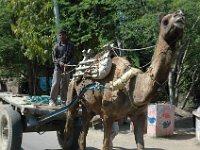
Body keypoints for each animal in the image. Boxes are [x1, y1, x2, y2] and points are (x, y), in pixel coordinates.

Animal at [63, 10, 185, 150]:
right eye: (165, 21)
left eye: (182, 16)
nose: (180, 17)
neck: (133, 87)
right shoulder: (107, 115)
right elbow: (106, 145)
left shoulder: (139, 115)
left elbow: (140, 145)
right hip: (71, 96)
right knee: (67, 129)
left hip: (88, 108)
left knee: (82, 136)